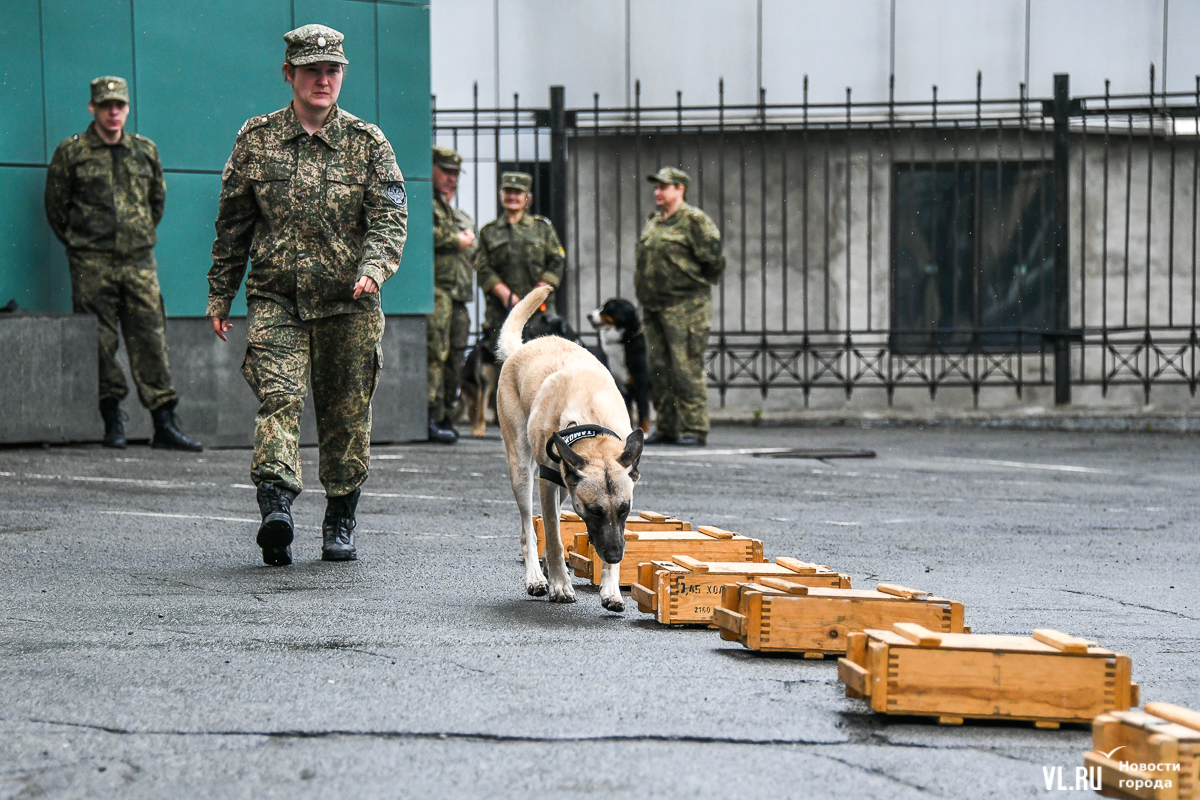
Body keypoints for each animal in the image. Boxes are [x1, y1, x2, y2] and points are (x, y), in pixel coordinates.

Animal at [588, 298, 652, 434]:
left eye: (607, 309)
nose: (589, 316)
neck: (622, 342)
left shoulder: (640, 387)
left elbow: (643, 414)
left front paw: (644, 433)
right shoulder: (622, 388)